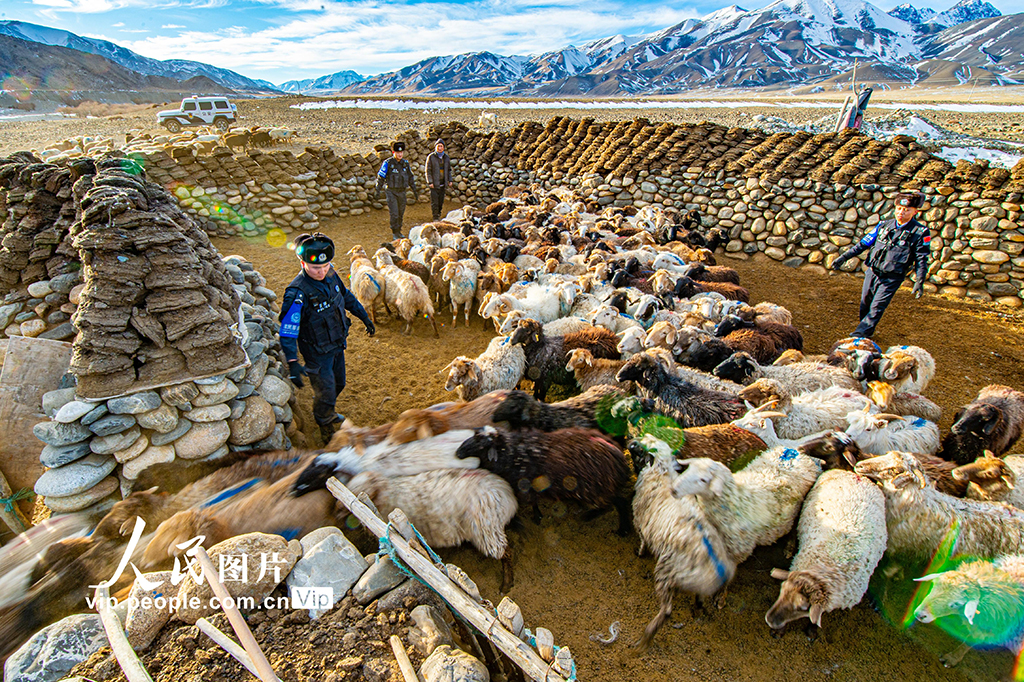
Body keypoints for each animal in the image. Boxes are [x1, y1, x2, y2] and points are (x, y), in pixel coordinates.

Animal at [456, 428, 630, 532]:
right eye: (474, 435)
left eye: (483, 444)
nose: (458, 452)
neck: (512, 454)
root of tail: (619, 456)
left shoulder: (524, 487)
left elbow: (529, 503)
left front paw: (532, 519)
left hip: (597, 488)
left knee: (617, 503)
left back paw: (610, 524)